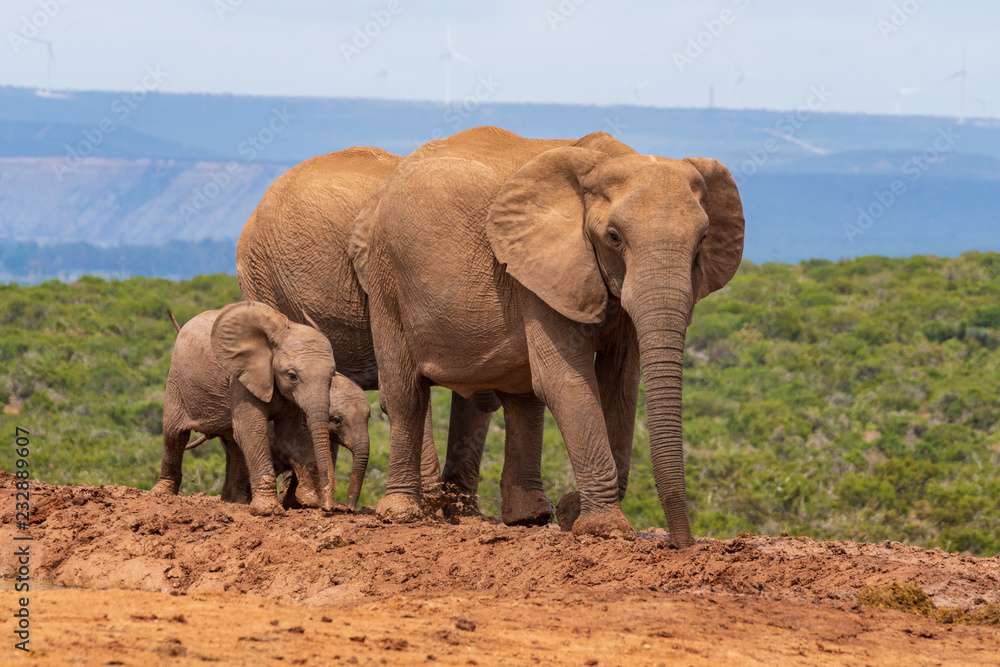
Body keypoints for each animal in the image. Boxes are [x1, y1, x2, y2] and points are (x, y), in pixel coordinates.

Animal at [152, 301, 338, 516]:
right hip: (177, 378)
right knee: (175, 434)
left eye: (332, 376)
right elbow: (251, 429)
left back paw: (235, 502)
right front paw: (268, 510)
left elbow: (292, 436)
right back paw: (161, 494)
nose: (327, 507)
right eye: (292, 376)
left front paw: (310, 501)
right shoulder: (240, 378)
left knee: (233, 443)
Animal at [348, 126, 744, 545]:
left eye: (703, 239)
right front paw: (603, 529)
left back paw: (529, 518)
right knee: (407, 393)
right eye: (614, 237)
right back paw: (401, 513)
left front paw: (573, 513)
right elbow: (565, 380)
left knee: (521, 398)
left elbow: (621, 384)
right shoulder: (537, 270)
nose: (682, 544)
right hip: (386, 275)